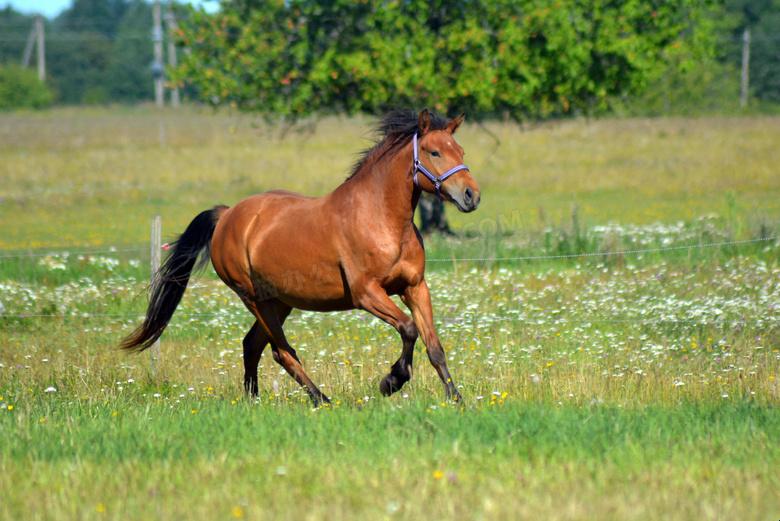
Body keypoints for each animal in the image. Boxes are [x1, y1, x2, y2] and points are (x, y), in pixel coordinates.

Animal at [120, 107, 482, 404]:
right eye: (435, 152)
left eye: (461, 151)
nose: (471, 196)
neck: (380, 218)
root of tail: (226, 215)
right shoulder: (366, 293)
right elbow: (408, 329)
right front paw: (391, 381)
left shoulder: (415, 287)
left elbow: (434, 345)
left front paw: (456, 399)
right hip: (255, 299)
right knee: (281, 352)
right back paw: (321, 399)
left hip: (280, 301)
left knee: (252, 345)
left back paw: (254, 400)